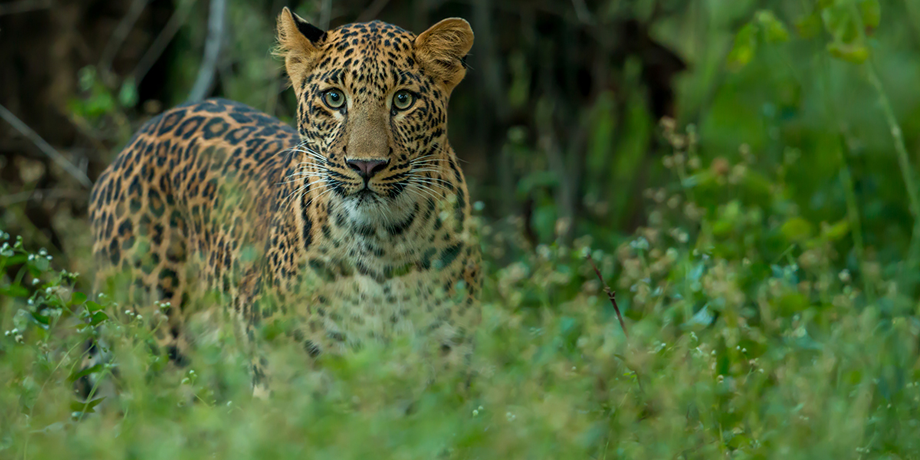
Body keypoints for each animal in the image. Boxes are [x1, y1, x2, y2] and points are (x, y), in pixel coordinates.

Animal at [88, 6, 482, 396]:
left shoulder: (451, 370)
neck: (380, 246)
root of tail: (147, 130)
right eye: (334, 98)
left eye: (403, 100)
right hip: (150, 340)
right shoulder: (286, 378)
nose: (365, 165)